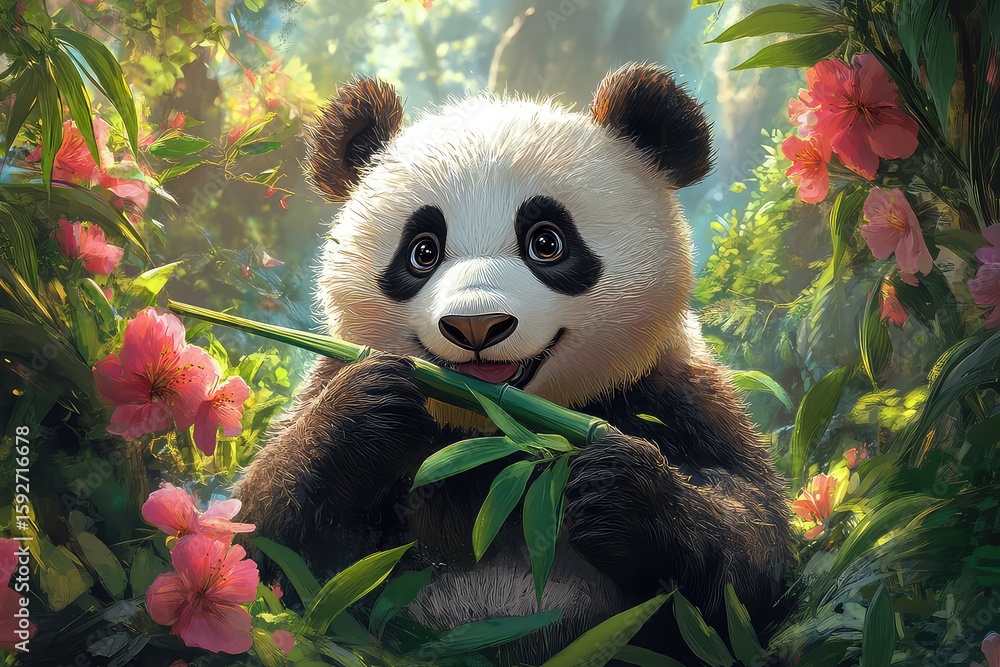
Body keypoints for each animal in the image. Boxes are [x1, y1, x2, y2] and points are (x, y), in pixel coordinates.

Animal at [237, 63, 791, 663]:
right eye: (422, 251)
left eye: (546, 242)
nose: (476, 326)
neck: (500, 428)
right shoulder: (333, 389)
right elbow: (265, 542)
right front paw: (368, 408)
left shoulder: (669, 389)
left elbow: (752, 546)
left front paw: (618, 488)